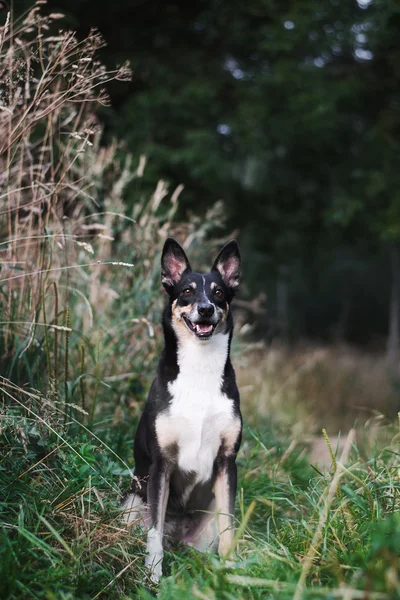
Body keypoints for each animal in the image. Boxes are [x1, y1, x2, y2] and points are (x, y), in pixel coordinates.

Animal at [122, 238, 242, 580]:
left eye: (219, 293)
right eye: (187, 290)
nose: (206, 309)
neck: (200, 368)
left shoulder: (227, 462)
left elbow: (229, 527)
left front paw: (231, 570)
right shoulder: (161, 463)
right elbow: (154, 531)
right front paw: (153, 576)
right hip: (131, 501)